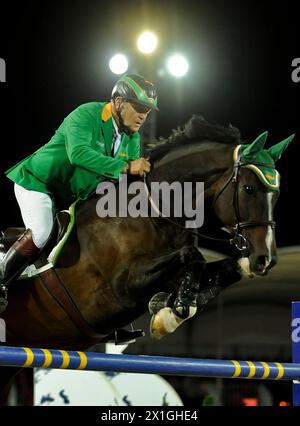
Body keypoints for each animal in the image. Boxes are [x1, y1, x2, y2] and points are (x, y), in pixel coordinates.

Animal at [0, 114, 292, 402]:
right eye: (249, 189)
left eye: (277, 195)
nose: (266, 259)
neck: (153, 214)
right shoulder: (122, 290)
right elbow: (193, 256)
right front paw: (174, 311)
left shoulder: (168, 277)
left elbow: (229, 268)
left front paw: (169, 309)